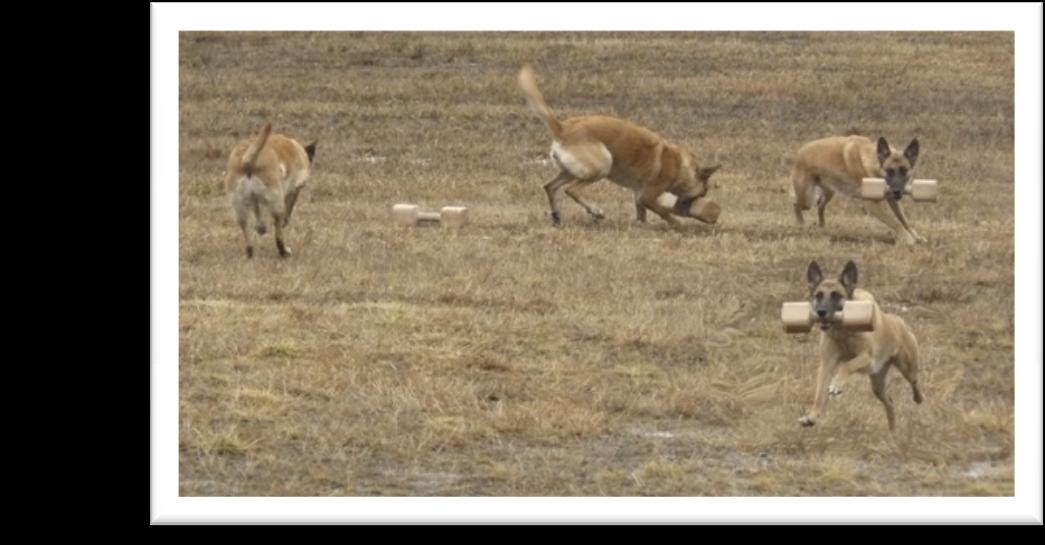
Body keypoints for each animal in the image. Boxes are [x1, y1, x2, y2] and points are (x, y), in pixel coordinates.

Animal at [223, 124, 313, 257]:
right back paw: (283, 251)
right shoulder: (294, 190)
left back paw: (250, 251)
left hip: (239, 206)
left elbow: (257, 210)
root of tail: (248, 161)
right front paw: (285, 221)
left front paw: (260, 227)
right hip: (277, 205)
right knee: (278, 235)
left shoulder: (254, 199)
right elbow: (289, 208)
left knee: (245, 227)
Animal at [516, 63, 718, 226]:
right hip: (603, 165)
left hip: (569, 171)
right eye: (703, 193)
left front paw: (641, 226)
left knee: (550, 187)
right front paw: (678, 224)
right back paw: (595, 212)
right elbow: (663, 211)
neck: (681, 167)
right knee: (570, 190)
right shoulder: (647, 196)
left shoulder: (639, 195)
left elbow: (642, 214)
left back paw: (557, 216)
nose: (697, 208)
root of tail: (563, 128)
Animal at [785, 134, 927, 245]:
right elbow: (895, 221)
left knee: (820, 205)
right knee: (796, 204)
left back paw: (823, 227)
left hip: (829, 192)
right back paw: (801, 225)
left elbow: (904, 220)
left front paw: (916, 236)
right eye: (889, 171)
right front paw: (908, 238)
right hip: (807, 199)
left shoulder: (892, 200)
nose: (897, 191)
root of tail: (800, 153)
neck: (873, 161)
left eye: (904, 171)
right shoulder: (872, 204)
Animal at [798, 258, 923, 428]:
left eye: (836, 295)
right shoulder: (826, 365)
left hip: (907, 368)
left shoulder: (867, 358)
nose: (821, 312)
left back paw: (918, 398)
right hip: (877, 384)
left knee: (915, 383)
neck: (843, 333)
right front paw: (812, 416)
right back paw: (892, 430)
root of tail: (900, 322)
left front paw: (837, 384)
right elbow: (819, 393)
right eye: (818, 295)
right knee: (889, 402)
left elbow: (847, 364)